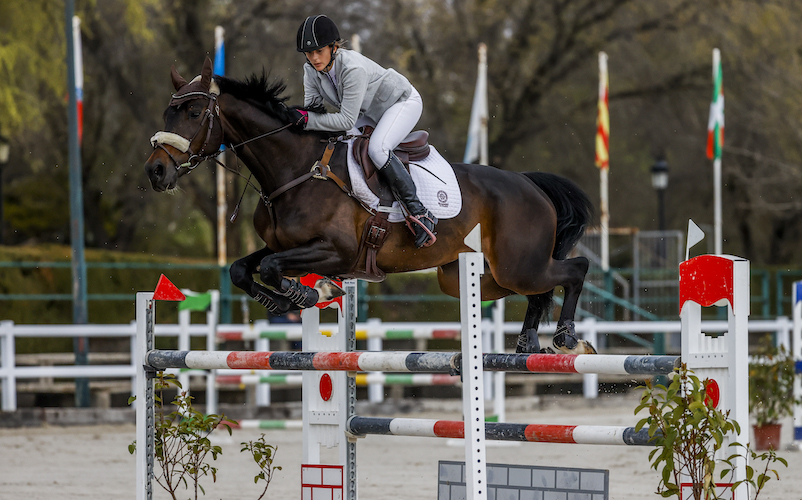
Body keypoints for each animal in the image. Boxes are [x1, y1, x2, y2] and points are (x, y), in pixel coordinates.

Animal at [144, 57, 592, 356]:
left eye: (195, 112)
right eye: (167, 111)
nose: (155, 172)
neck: (294, 169)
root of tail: (530, 185)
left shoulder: (336, 251)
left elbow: (273, 268)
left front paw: (303, 293)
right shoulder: (282, 245)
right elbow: (242, 269)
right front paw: (283, 300)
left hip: (519, 264)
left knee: (574, 269)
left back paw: (567, 337)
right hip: (480, 275)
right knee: (540, 289)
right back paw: (528, 341)